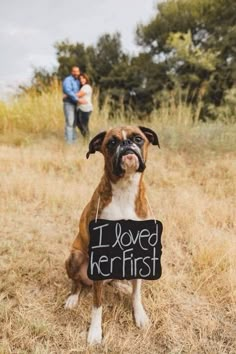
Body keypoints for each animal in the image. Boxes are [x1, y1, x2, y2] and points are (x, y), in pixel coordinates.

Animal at [64, 124, 160, 342]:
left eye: (138, 138)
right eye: (112, 143)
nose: (126, 143)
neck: (125, 189)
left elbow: (137, 294)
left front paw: (139, 315)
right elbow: (97, 305)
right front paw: (95, 332)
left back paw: (121, 285)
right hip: (75, 256)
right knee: (77, 282)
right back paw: (73, 298)